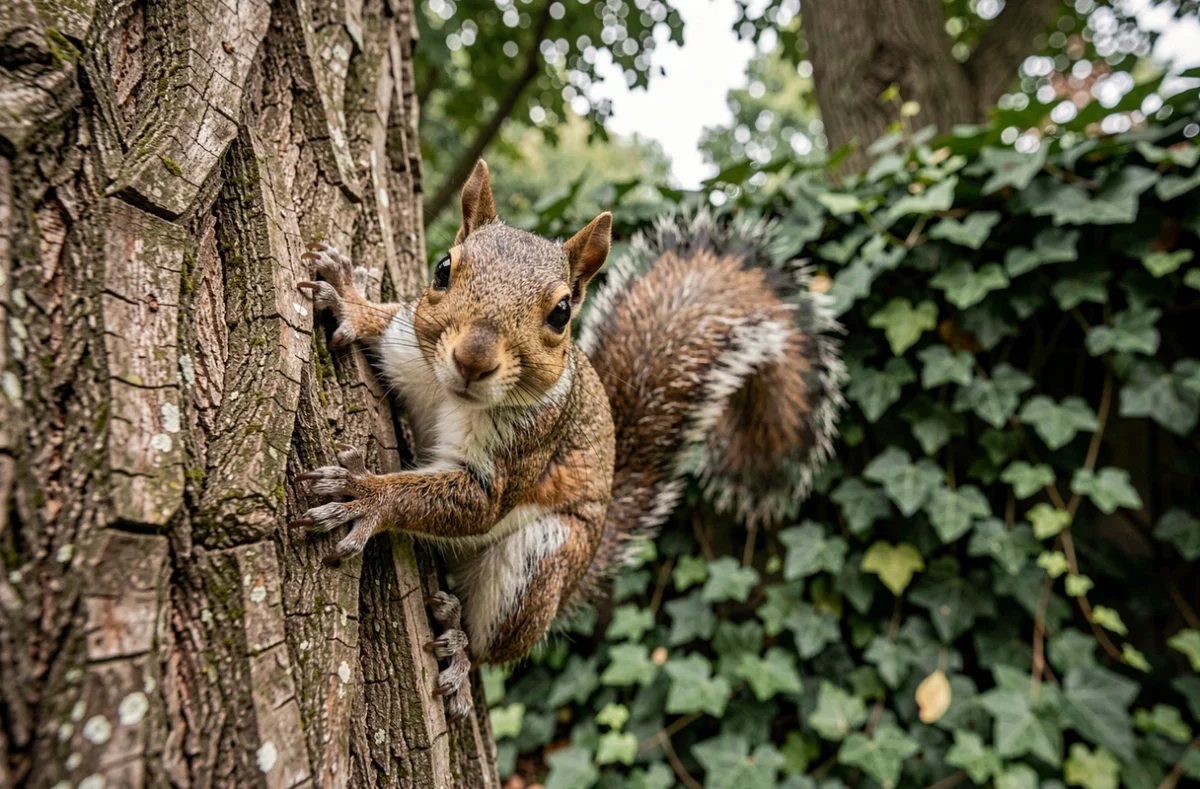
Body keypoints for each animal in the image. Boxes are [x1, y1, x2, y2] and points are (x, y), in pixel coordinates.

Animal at [292, 161, 843, 722]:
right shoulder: (409, 350)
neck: (454, 398)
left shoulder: (529, 444)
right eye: (443, 269)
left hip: (545, 559)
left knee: (498, 646)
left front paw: (365, 496)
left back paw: (461, 652)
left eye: (560, 313)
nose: (472, 360)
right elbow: (382, 325)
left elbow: (476, 506)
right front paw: (350, 299)